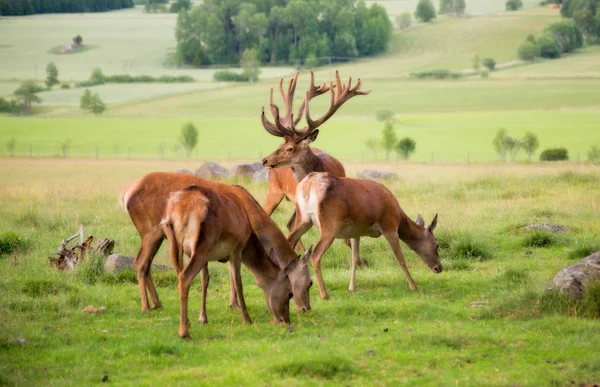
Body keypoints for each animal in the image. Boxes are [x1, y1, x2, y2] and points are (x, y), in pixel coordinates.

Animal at [119, 174, 312, 318]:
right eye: (310, 283)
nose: (306, 309)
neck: (251, 215)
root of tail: (126, 193)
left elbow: (230, 272)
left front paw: (233, 303)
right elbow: (234, 274)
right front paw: (235, 305)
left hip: (158, 234)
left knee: (146, 263)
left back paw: (158, 303)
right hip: (150, 230)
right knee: (140, 262)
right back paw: (146, 307)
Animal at [159, 186, 308, 340]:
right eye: (290, 293)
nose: (285, 320)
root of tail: (180, 210)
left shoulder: (209, 258)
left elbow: (205, 280)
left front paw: (202, 318)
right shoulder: (236, 249)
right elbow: (238, 283)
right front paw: (247, 319)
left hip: (175, 245)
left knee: (179, 275)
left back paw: (187, 323)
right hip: (203, 246)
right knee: (185, 277)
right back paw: (184, 332)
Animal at [288, 172, 442, 300]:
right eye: (437, 244)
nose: (439, 268)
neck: (399, 216)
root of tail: (307, 186)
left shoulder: (355, 233)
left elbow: (354, 258)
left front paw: (351, 287)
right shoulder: (389, 225)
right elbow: (400, 258)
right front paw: (414, 286)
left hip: (303, 218)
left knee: (290, 240)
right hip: (330, 224)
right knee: (315, 253)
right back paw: (324, 294)